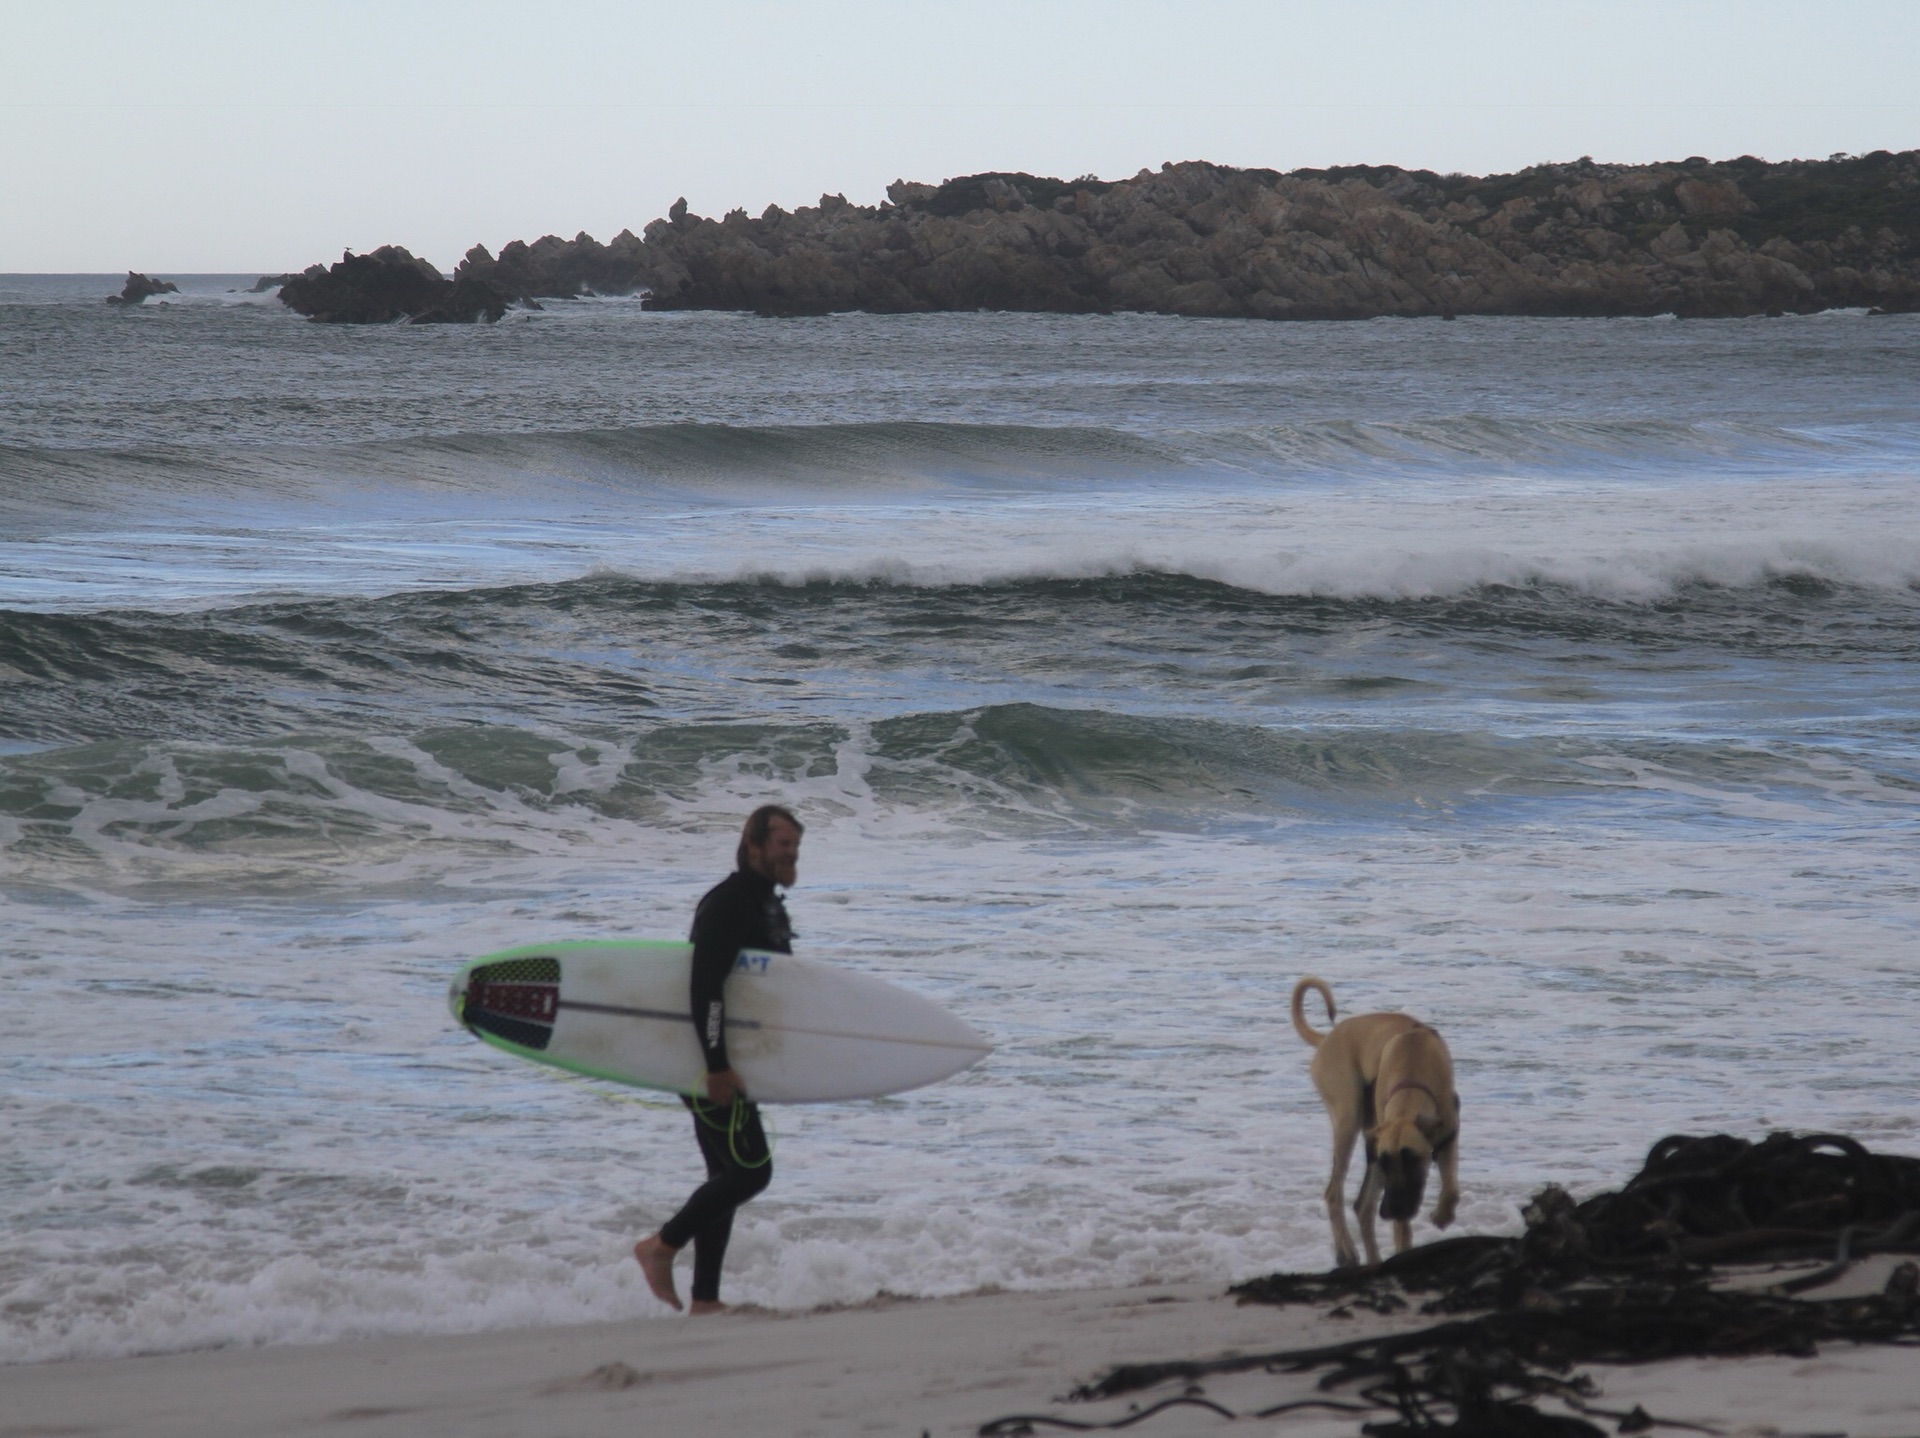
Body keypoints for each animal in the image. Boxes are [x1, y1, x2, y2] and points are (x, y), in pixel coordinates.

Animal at [1297, 975, 1459, 1267]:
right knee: (1335, 1193)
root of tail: (1327, 1038)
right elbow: (1403, 1231)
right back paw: (1347, 1252)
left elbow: (1451, 1188)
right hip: (1348, 1120)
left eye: (1410, 1157)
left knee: (1363, 1206)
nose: (1390, 1210)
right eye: (1386, 1161)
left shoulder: (1448, 1135)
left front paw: (1443, 1215)